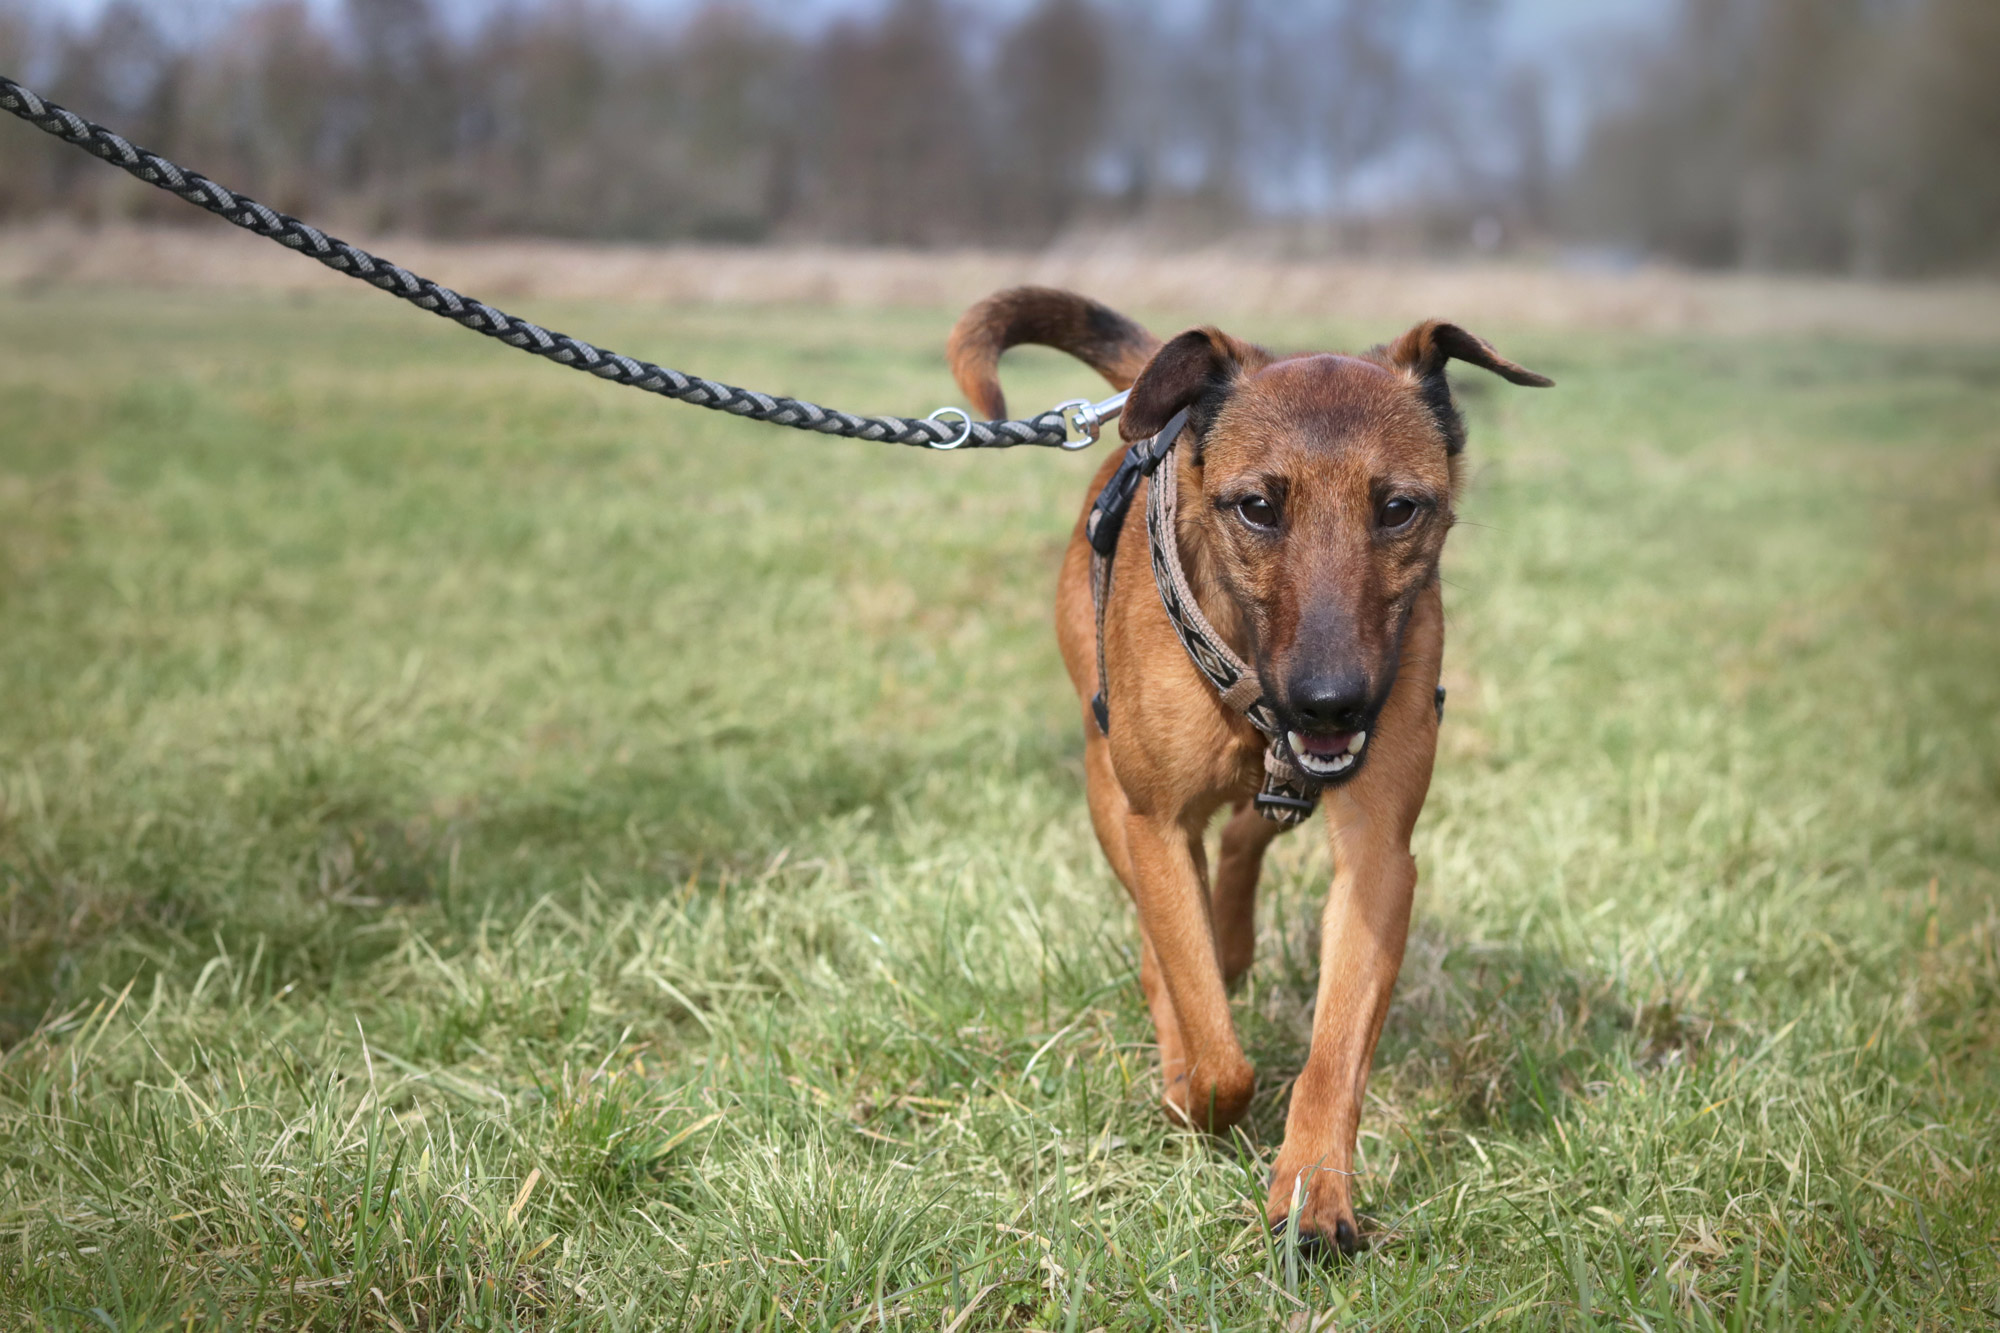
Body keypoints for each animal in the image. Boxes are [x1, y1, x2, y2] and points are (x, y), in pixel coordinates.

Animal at [944, 286, 1552, 1248]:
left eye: (1398, 508)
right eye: (1258, 506)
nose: (1332, 703)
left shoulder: (1379, 857)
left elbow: (1332, 1052)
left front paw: (1313, 1192)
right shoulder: (1154, 823)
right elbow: (1212, 1040)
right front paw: (1191, 1091)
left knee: (1243, 842)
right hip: (1106, 786)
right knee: (1166, 934)